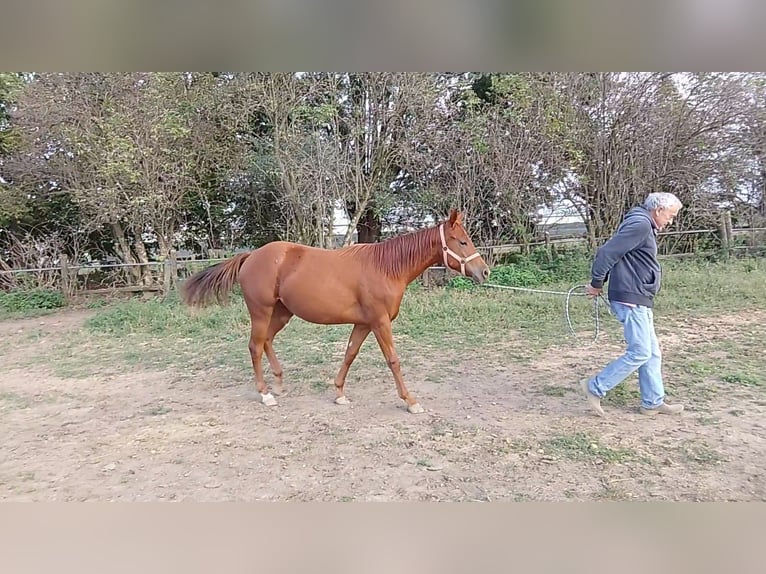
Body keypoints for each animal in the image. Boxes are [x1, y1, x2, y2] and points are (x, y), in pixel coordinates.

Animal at [180, 209, 490, 414]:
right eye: (462, 241)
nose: (485, 272)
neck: (386, 268)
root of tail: (250, 256)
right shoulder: (380, 322)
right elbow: (393, 360)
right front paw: (410, 401)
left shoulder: (364, 324)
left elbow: (349, 354)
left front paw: (339, 393)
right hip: (261, 312)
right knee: (255, 346)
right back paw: (266, 394)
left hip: (281, 313)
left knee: (266, 341)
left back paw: (278, 383)